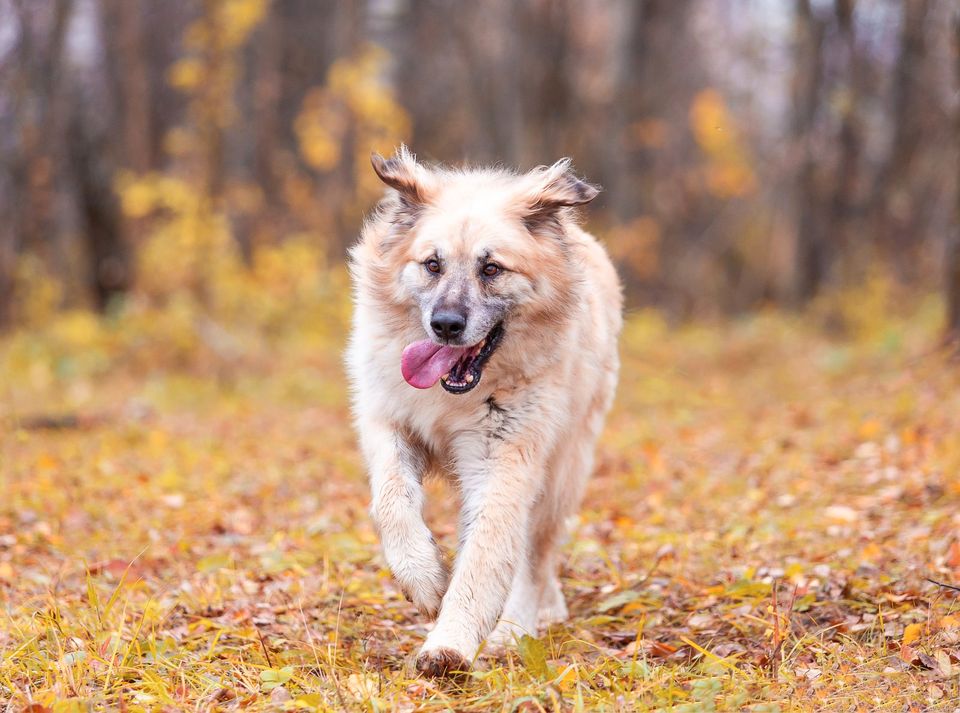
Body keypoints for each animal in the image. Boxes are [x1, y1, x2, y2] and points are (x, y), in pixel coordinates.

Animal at [344, 147, 624, 676]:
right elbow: (392, 502)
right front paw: (424, 579)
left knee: (534, 557)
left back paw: (516, 628)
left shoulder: (505, 462)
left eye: (491, 269)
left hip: (561, 473)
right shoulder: (387, 423)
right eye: (432, 265)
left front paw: (450, 645)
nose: (446, 325)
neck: (456, 397)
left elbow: (486, 557)